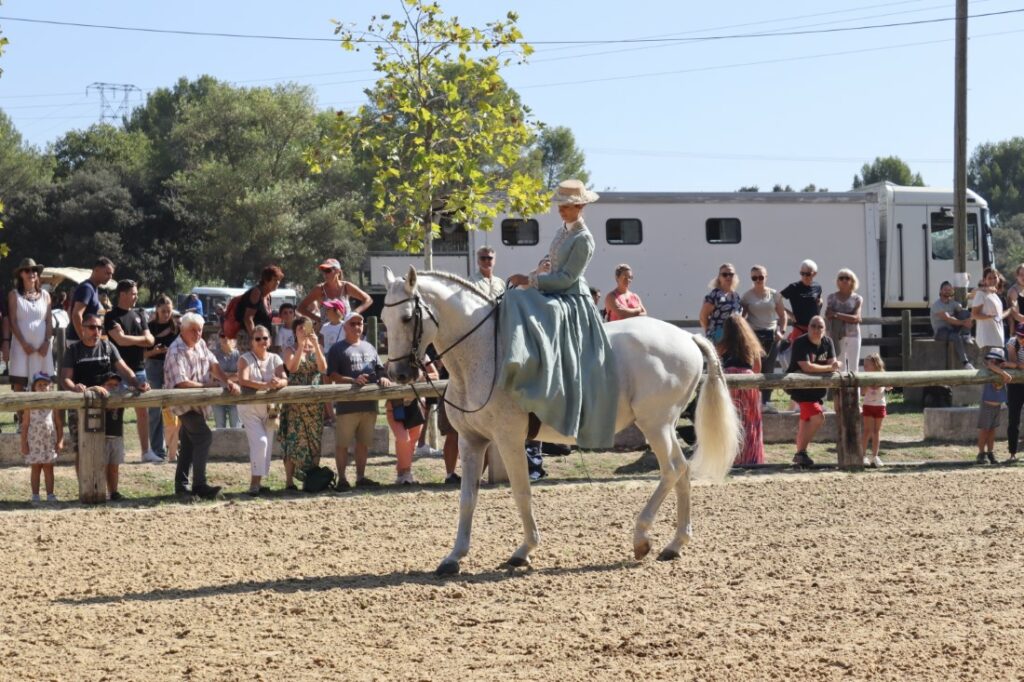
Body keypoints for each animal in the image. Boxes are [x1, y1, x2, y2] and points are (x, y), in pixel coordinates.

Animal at [381, 267, 740, 575]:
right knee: (682, 471)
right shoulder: (472, 441)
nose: (398, 373)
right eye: (384, 319)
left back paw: (642, 538)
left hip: (656, 425)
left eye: (407, 317)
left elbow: (521, 492)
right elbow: (467, 498)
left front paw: (523, 551)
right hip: (662, 427)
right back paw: (675, 545)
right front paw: (454, 557)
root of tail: (686, 337)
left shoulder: (509, 439)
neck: (484, 351)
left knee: (672, 470)